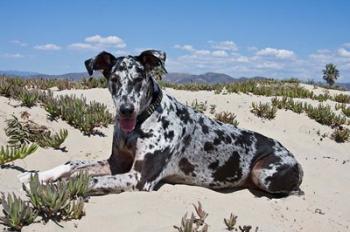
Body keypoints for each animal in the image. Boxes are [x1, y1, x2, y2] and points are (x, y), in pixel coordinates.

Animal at [19, 50, 304, 196]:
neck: (139, 126)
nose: (125, 110)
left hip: (263, 173)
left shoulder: (139, 178)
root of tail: (292, 156)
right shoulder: (116, 163)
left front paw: (53, 189)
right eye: (113, 79)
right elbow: (74, 164)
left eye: (139, 78)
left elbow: (89, 181)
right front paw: (39, 176)